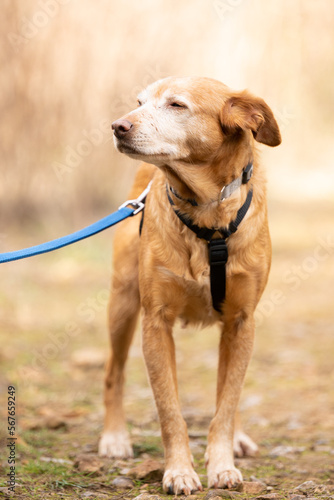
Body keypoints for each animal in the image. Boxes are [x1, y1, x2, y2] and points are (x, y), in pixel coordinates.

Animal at [98, 76, 280, 494]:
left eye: (177, 105)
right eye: (139, 102)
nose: (118, 126)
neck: (207, 212)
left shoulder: (242, 321)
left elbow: (227, 402)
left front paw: (223, 464)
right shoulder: (156, 322)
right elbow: (169, 411)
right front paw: (179, 470)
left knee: (229, 389)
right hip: (123, 305)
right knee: (113, 372)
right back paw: (114, 438)